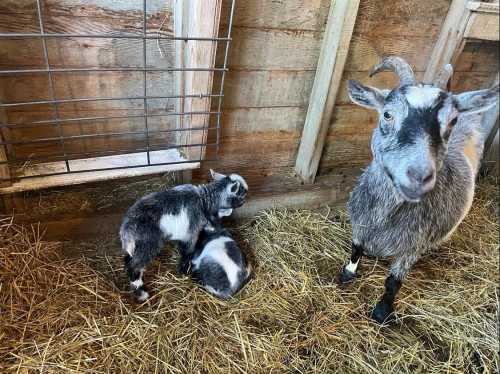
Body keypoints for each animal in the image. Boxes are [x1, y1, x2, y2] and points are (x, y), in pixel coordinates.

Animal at [119, 169, 248, 300]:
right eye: (242, 193)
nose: (244, 202)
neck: (204, 200)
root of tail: (127, 228)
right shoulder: (191, 233)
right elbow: (187, 252)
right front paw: (183, 271)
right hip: (148, 244)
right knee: (134, 266)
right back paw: (141, 293)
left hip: (137, 246)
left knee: (128, 259)